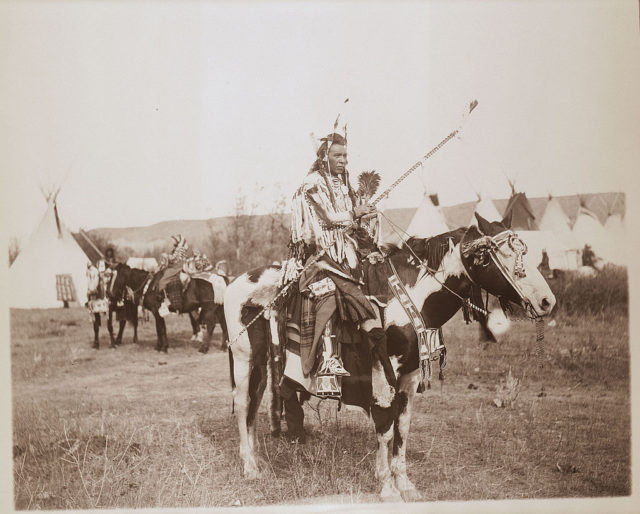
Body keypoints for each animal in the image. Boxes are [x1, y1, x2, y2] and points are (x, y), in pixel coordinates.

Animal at [222, 213, 552, 500]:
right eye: (504, 255)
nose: (548, 302)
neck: (408, 297)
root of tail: (236, 282)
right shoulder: (384, 371)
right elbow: (384, 426)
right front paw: (387, 487)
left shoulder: (410, 375)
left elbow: (402, 427)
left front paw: (404, 483)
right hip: (243, 357)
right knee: (243, 404)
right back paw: (249, 467)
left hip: (262, 362)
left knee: (254, 403)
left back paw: (256, 459)